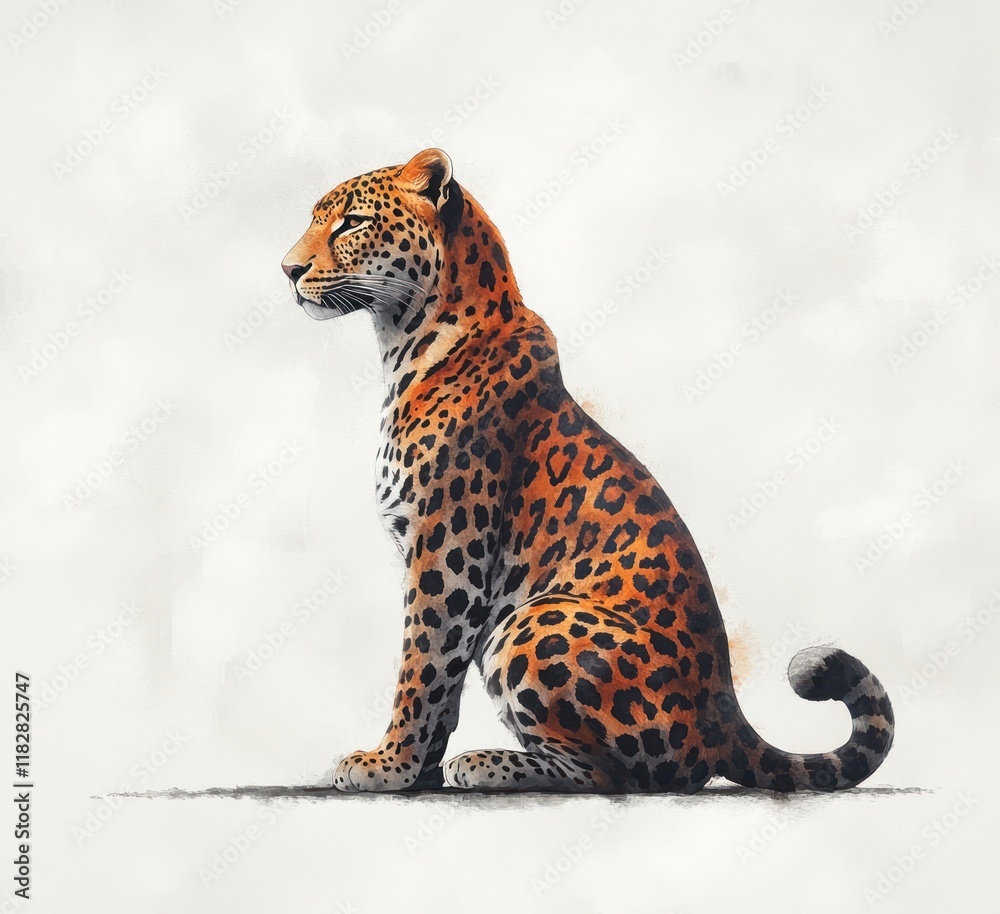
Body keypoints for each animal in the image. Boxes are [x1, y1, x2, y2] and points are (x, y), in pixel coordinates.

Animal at [281, 148, 894, 793]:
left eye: (351, 223)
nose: (288, 270)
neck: (403, 342)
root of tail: (726, 721)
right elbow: (442, 680)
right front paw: (417, 770)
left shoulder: (447, 551)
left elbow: (422, 664)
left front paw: (389, 765)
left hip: (531, 619)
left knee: (622, 776)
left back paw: (488, 763)